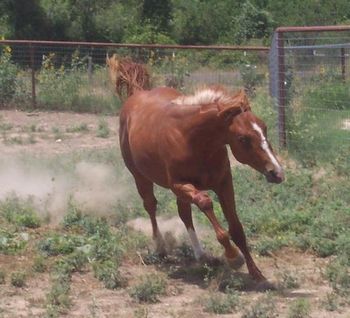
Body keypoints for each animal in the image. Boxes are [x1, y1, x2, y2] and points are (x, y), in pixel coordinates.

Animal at [119, 82, 284, 284]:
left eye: (264, 127)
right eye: (243, 138)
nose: (277, 172)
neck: (191, 139)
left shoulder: (224, 183)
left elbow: (236, 227)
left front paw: (256, 272)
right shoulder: (178, 185)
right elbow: (205, 202)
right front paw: (233, 257)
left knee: (184, 213)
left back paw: (201, 254)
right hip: (140, 177)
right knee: (150, 205)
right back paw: (160, 246)